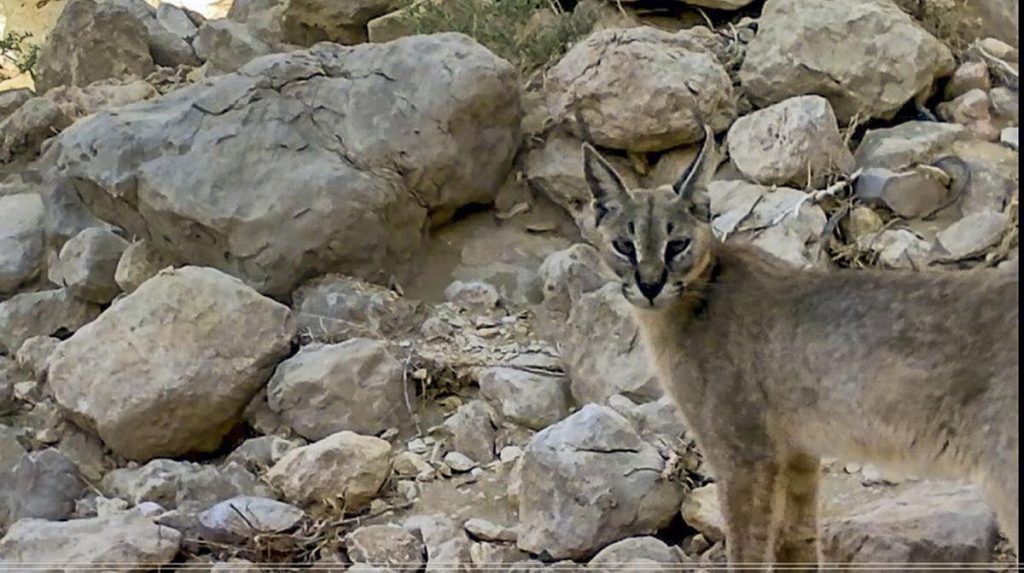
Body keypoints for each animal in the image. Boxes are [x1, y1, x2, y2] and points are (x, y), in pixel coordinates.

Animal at [577, 125, 1015, 568]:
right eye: (625, 246)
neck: (689, 303)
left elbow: (748, 551)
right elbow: (797, 541)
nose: (650, 285)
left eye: (677, 245)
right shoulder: (797, 452)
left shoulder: (744, 454)